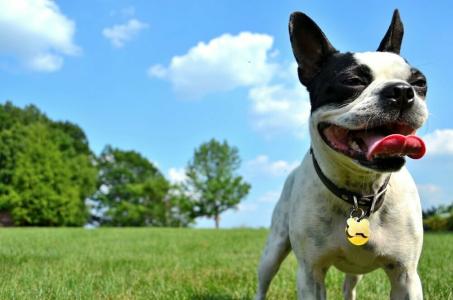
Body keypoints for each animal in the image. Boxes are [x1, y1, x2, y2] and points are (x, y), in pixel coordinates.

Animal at [254, 9, 428, 300]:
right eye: (352, 81)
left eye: (419, 82)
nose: (403, 91)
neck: (360, 193)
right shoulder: (310, 273)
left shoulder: (406, 275)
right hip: (273, 249)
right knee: (263, 281)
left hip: (356, 271)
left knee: (349, 286)